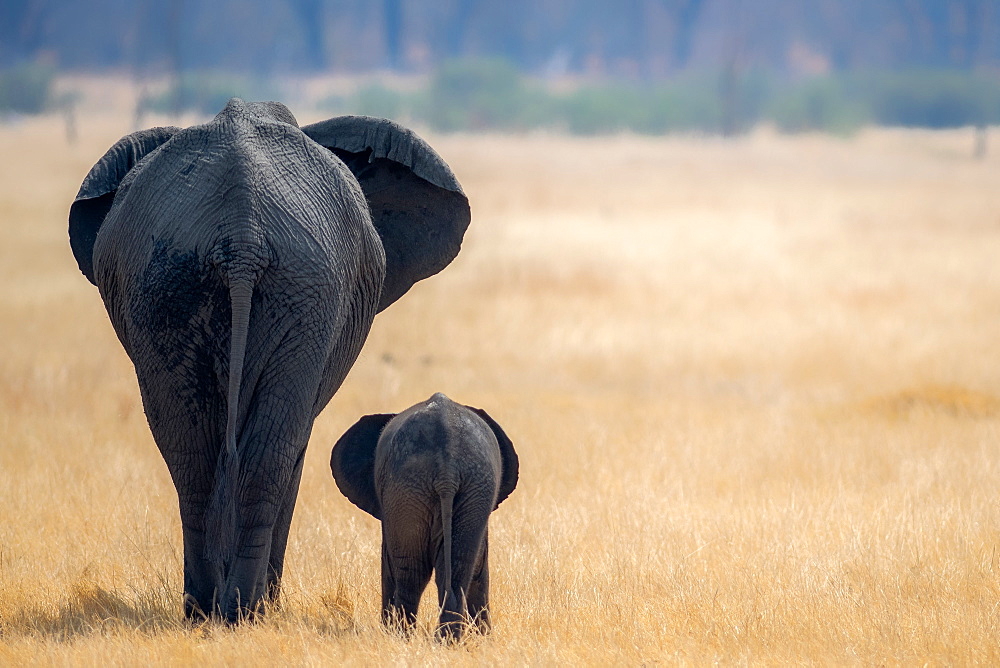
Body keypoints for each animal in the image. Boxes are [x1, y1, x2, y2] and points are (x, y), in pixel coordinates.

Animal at [70, 98, 468, 620]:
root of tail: (241, 236)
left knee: (194, 449)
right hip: (287, 292)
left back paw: (209, 608)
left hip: (180, 285)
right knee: (269, 450)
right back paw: (247, 608)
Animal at [330, 394, 520, 640]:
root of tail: (448, 466)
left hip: (408, 487)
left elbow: (388, 561)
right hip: (472, 485)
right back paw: (447, 641)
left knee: (412, 571)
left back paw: (402, 637)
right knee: (457, 569)